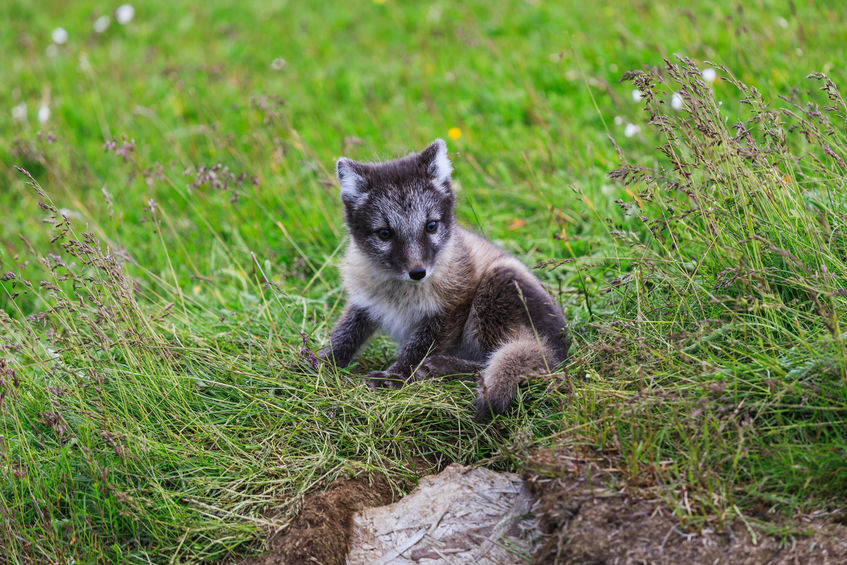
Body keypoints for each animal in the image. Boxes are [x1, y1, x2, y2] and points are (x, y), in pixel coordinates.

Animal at [316, 139, 570, 421]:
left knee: (500, 360)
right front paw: (317, 362)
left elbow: (419, 348)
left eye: (431, 226)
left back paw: (443, 367)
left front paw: (394, 377)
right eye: (384, 233)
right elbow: (344, 333)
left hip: (497, 287)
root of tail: (558, 348)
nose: (418, 272)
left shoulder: (453, 306)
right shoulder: (365, 301)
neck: (399, 292)